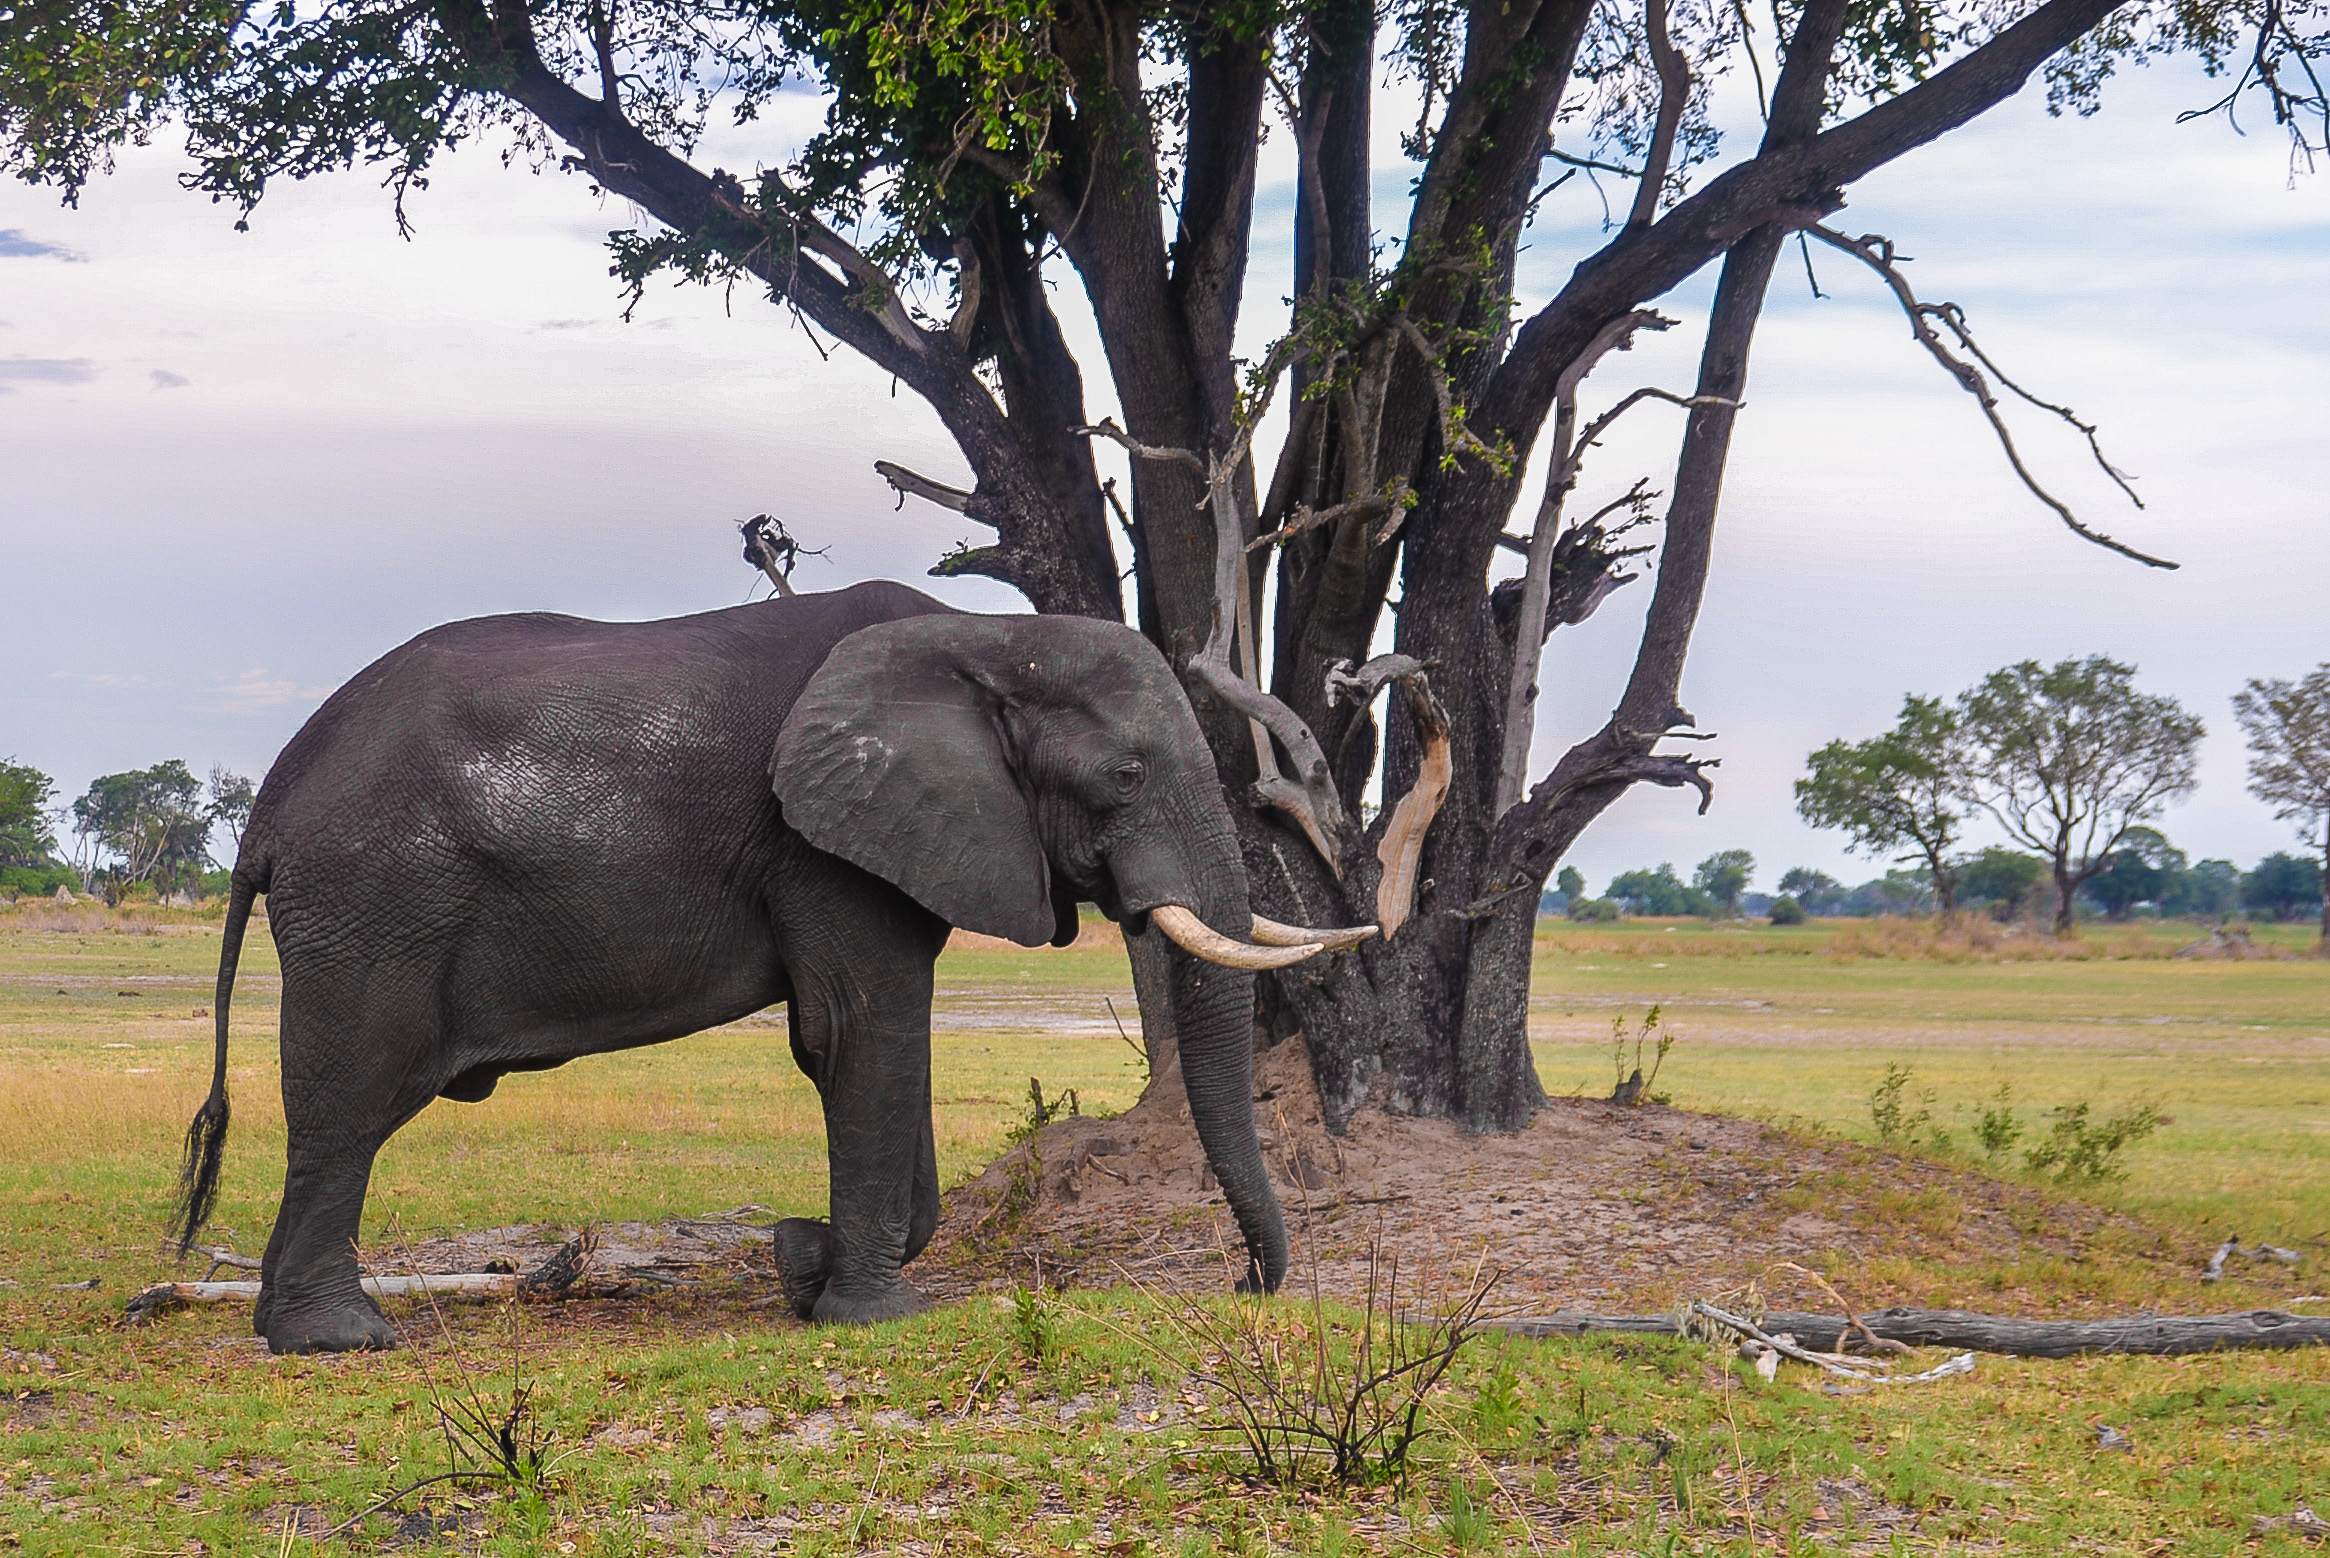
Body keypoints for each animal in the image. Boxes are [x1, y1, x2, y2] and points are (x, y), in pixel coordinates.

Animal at [171, 580, 1372, 1354]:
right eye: (1125, 774)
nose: (1246, 1285)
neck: (989, 636)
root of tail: (269, 804)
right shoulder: (821, 843)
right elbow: (859, 1033)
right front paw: (868, 1313)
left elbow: (863, 1043)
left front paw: (802, 1263)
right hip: (375, 902)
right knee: (352, 1104)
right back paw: (339, 1340)